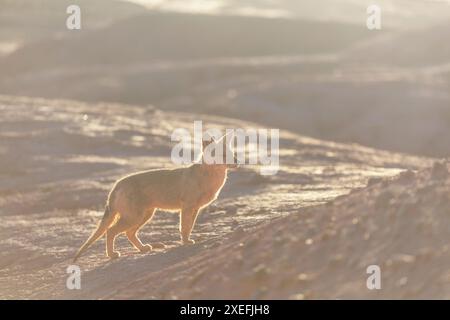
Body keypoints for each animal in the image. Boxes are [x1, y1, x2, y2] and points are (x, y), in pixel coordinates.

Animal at [73, 134, 239, 262]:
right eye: (223, 155)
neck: (209, 179)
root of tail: (117, 184)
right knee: (111, 231)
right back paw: (112, 255)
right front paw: (186, 242)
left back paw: (142, 248)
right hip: (135, 217)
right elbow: (184, 227)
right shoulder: (187, 207)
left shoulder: (195, 209)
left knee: (129, 233)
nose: (237, 162)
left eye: (233, 154)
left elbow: (189, 226)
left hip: (145, 215)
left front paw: (187, 240)